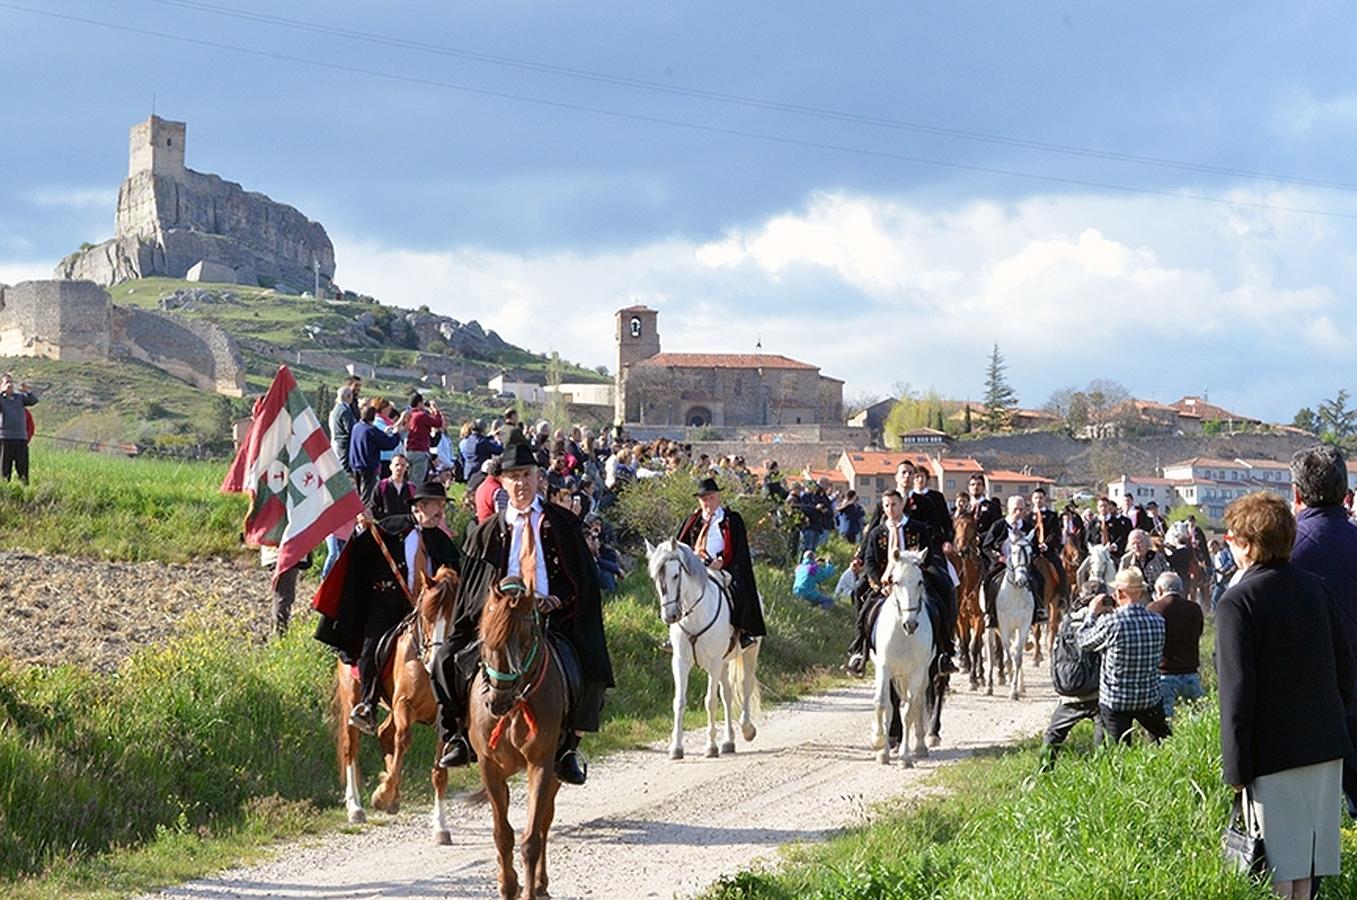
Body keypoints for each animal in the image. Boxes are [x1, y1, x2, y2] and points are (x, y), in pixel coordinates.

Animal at [331, 567, 458, 841]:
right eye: (426, 615)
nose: (436, 661)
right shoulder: (404, 705)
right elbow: (403, 741)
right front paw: (382, 795)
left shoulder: (445, 717)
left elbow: (439, 772)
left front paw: (441, 826)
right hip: (352, 696)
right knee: (351, 746)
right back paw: (356, 807)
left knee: (383, 733)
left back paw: (394, 796)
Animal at [469, 578, 569, 900]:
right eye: (484, 639)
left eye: (525, 643)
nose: (497, 702)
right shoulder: (489, 767)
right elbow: (502, 834)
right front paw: (507, 885)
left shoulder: (541, 765)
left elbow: (532, 837)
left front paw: (528, 889)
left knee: (545, 820)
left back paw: (539, 883)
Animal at [645, 542, 765, 760]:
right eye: (656, 578)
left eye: (676, 575)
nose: (670, 616)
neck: (694, 615)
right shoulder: (680, 662)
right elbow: (679, 702)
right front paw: (676, 748)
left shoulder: (714, 662)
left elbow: (710, 701)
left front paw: (710, 747)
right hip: (725, 662)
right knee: (727, 695)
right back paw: (728, 741)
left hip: (749, 653)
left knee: (745, 685)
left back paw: (747, 729)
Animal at [868, 548, 933, 765]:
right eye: (895, 581)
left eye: (920, 581)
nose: (910, 624)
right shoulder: (884, 668)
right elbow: (882, 704)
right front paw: (879, 744)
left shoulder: (916, 672)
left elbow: (908, 712)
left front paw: (904, 758)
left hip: (921, 674)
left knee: (917, 703)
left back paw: (920, 746)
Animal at [987, 537, 1036, 700]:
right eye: (1013, 552)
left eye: (1030, 553)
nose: (1022, 580)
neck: (1015, 592)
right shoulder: (1004, 627)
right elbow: (1008, 658)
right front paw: (1010, 684)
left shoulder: (1023, 626)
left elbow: (1018, 657)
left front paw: (1015, 689)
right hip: (989, 628)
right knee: (991, 652)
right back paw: (989, 686)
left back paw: (1021, 685)